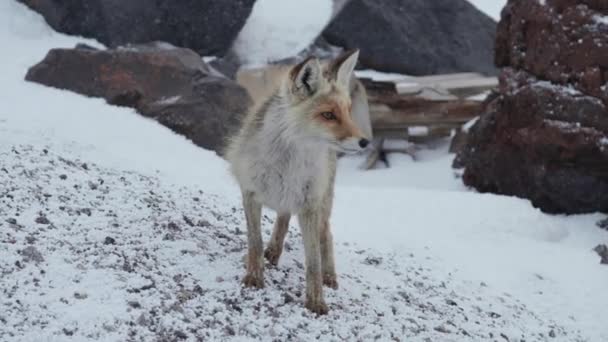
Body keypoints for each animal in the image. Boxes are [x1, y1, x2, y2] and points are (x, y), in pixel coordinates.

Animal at [223, 49, 366, 314]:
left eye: (348, 112)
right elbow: (255, 242)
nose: (365, 142)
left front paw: (316, 301)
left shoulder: (309, 206)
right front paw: (254, 277)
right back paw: (273, 251)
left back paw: (330, 276)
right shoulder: (250, 193)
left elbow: (313, 263)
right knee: (283, 218)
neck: (288, 166)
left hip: (321, 205)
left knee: (326, 234)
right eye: (328, 115)